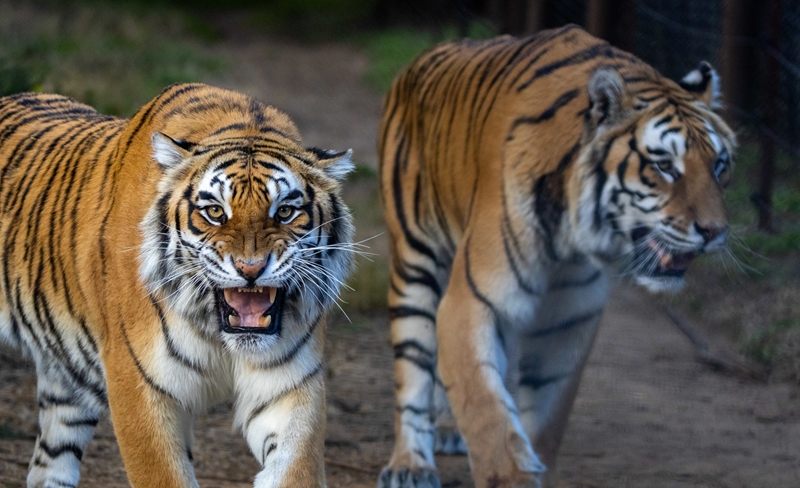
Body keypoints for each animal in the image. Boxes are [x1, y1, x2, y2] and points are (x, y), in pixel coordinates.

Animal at [0, 83, 355, 488]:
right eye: (215, 212)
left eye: (284, 212)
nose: (250, 268)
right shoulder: (139, 384)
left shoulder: (290, 388)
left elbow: (295, 468)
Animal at [377, 25, 735, 488]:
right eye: (665, 166)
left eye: (720, 166)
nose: (715, 232)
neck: (574, 240)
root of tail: (422, 58)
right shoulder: (473, 301)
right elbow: (488, 412)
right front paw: (509, 474)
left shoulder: (566, 322)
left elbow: (542, 418)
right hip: (415, 262)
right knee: (415, 368)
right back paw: (410, 464)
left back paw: (448, 430)